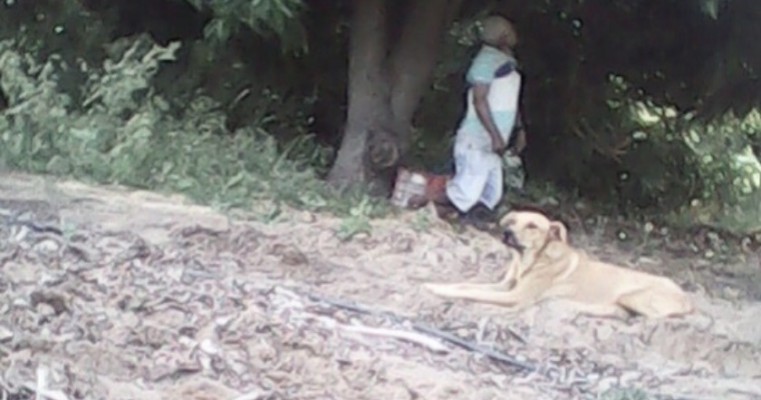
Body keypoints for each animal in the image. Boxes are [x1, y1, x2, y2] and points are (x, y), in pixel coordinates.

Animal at [422, 209, 696, 318]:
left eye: (532, 226)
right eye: (513, 221)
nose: (507, 233)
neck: (530, 261)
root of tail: (686, 297)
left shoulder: (514, 296)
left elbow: (471, 293)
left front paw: (439, 291)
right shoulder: (504, 286)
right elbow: (465, 285)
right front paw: (437, 284)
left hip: (633, 295)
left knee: (640, 316)